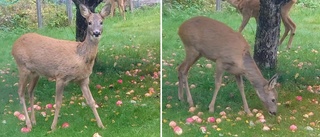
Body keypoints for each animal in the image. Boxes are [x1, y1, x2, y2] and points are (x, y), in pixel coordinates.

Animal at [11, 3, 110, 131]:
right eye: (89, 22)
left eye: (101, 22)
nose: (96, 33)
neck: (79, 56)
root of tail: (14, 46)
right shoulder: (60, 76)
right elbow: (58, 103)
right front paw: (53, 127)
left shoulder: (83, 79)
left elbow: (91, 101)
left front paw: (101, 125)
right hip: (22, 67)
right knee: (20, 92)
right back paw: (28, 123)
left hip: (35, 72)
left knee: (30, 90)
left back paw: (33, 120)